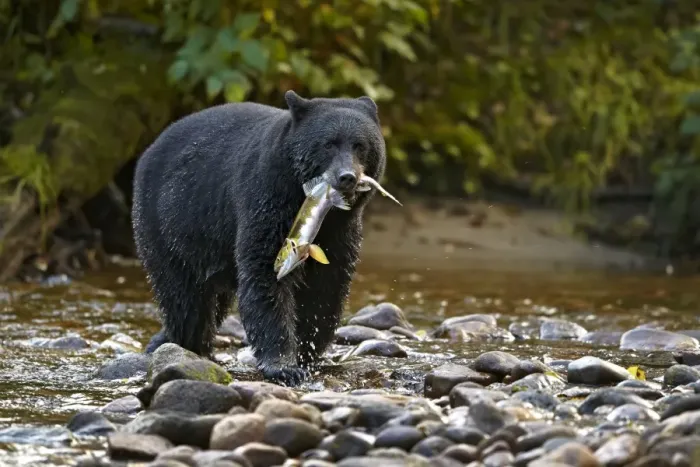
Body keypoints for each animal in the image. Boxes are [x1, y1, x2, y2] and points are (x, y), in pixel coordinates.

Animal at [131, 90, 386, 385]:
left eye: (360, 145)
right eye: (328, 145)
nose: (347, 177)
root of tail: (149, 149)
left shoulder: (342, 231)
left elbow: (327, 285)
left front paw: (307, 352)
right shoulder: (266, 199)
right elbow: (264, 274)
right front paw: (284, 366)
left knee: (213, 301)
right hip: (166, 225)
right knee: (184, 297)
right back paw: (183, 344)